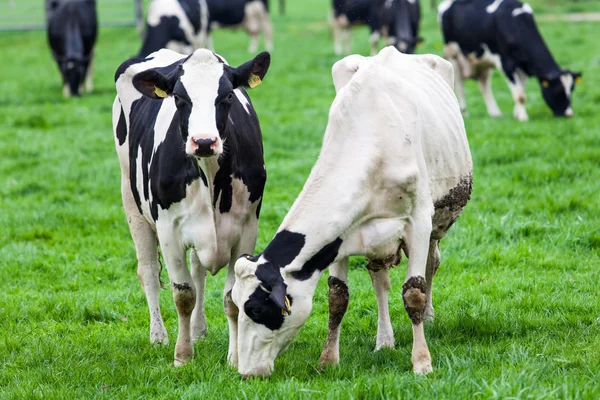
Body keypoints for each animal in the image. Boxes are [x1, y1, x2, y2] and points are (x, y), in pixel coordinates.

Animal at [113, 47, 272, 366]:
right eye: (179, 98)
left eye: (228, 96)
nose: (204, 141)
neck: (210, 176)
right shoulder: (169, 232)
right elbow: (183, 295)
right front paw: (182, 356)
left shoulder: (247, 229)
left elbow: (230, 297)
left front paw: (235, 358)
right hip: (131, 202)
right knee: (149, 271)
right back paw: (158, 336)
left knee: (198, 271)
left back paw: (198, 330)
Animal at [231, 47, 474, 378]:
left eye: (255, 308)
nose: (245, 372)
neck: (372, 139)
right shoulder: (341, 236)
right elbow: (337, 296)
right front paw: (328, 359)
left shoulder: (418, 223)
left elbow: (414, 293)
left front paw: (422, 362)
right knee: (380, 279)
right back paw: (384, 340)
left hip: (438, 220)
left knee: (431, 265)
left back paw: (429, 317)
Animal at [438, 0, 584, 120]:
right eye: (557, 90)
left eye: (571, 89)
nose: (569, 114)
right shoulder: (506, 64)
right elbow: (520, 95)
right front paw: (523, 118)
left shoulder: (524, 67)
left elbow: (521, 91)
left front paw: (516, 114)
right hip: (453, 54)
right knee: (460, 84)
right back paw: (464, 112)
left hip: (483, 60)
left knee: (484, 85)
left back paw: (495, 113)